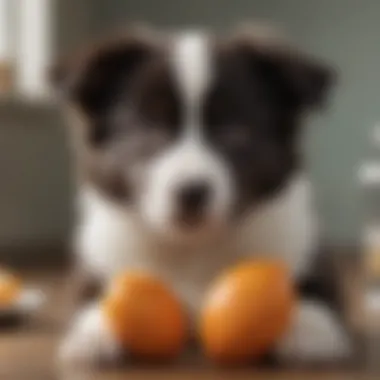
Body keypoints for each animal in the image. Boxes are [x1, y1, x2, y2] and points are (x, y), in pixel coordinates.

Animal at [52, 23, 352, 366]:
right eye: (151, 126)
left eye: (233, 129)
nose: (191, 192)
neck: (193, 248)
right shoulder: (96, 257)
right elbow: (96, 294)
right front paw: (95, 329)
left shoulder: (307, 247)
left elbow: (317, 290)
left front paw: (309, 325)